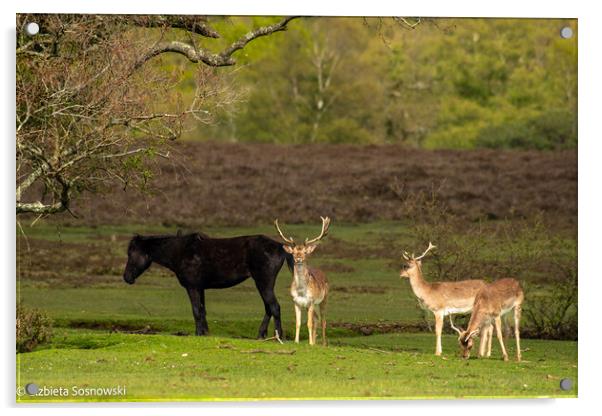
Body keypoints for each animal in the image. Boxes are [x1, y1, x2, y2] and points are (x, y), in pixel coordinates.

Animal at [121, 232, 290, 340]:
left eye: (131, 254)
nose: (126, 277)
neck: (181, 251)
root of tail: (279, 246)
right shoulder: (200, 288)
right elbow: (202, 310)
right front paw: (205, 333)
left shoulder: (192, 287)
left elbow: (196, 310)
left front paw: (198, 333)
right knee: (269, 308)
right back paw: (261, 334)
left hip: (264, 283)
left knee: (274, 307)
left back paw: (278, 336)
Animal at [272, 216, 328, 346]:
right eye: (293, 252)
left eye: (305, 252)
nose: (298, 258)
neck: (301, 291)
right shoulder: (296, 302)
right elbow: (298, 323)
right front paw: (297, 341)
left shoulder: (311, 301)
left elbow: (309, 323)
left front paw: (310, 343)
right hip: (311, 305)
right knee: (316, 319)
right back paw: (315, 342)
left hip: (323, 300)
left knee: (323, 321)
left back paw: (323, 344)